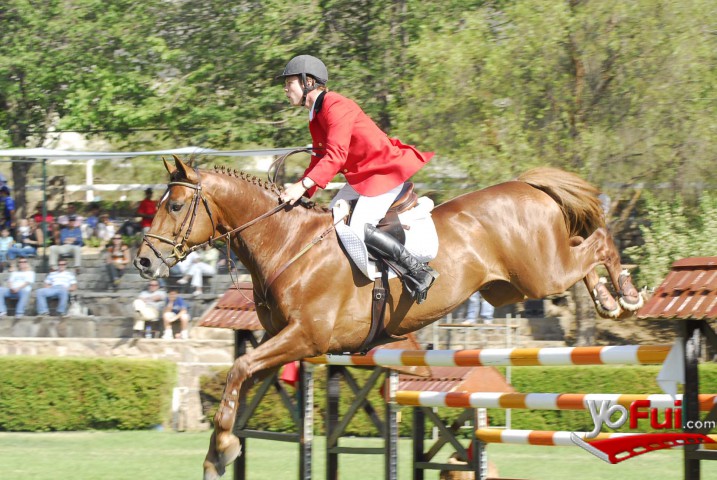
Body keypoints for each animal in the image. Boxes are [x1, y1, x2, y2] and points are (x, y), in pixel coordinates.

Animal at [134, 156, 644, 478]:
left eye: (174, 206)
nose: (143, 262)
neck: (286, 242)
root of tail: (527, 186)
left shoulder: (305, 338)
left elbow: (239, 370)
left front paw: (221, 448)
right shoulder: (280, 342)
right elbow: (240, 380)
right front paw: (220, 450)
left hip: (540, 274)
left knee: (598, 240)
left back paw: (625, 294)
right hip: (513, 285)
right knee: (583, 253)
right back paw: (606, 298)